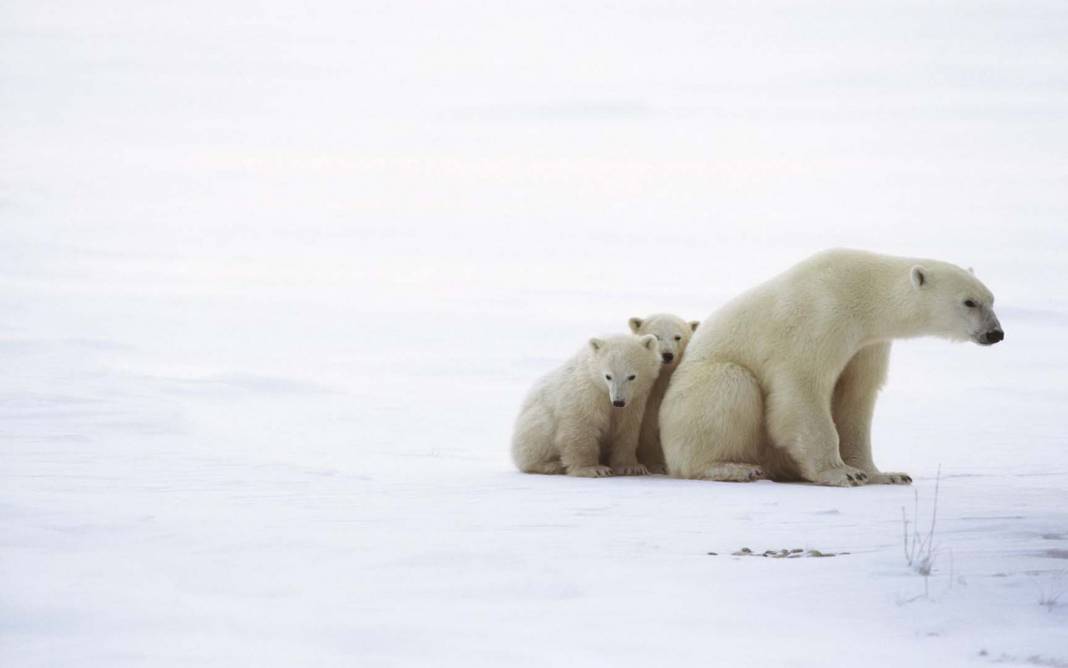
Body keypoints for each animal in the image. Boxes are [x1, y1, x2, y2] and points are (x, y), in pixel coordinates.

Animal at [512, 333, 662, 474]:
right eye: (608, 376)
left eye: (632, 376)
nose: (618, 401)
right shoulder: (586, 393)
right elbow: (581, 426)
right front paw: (593, 469)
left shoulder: (635, 401)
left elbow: (627, 429)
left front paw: (631, 467)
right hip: (536, 423)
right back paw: (552, 465)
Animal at [662, 247, 1003, 487]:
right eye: (969, 302)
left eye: (991, 299)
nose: (995, 333)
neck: (862, 291)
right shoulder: (819, 319)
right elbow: (803, 390)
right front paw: (841, 474)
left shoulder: (867, 344)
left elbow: (856, 398)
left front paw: (884, 474)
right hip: (696, 389)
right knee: (730, 385)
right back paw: (732, 468)